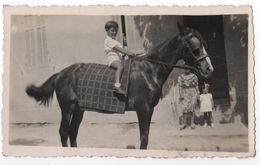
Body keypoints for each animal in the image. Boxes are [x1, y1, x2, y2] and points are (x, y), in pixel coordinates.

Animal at [25, 23, 213, 149]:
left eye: (204, 45)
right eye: (196, 48)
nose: (208, 69)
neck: (150, 69)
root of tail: (61, 74)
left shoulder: (150, 110)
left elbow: (146, 138)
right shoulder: (142, 109)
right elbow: (143, 138)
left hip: (79, 109)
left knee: (72, 133)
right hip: (67, 108)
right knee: (64, 132)